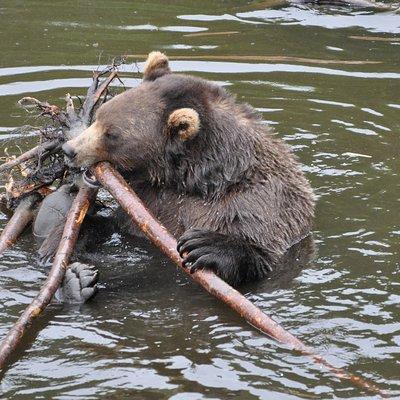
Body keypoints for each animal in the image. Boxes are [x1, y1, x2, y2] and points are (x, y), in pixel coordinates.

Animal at [61, 51, 316, 286]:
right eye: (99, 116)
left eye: (112, 134)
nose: (69, 149)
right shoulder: (149, 202)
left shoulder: (260, 202)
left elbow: (260, 249)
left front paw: (203, 245)